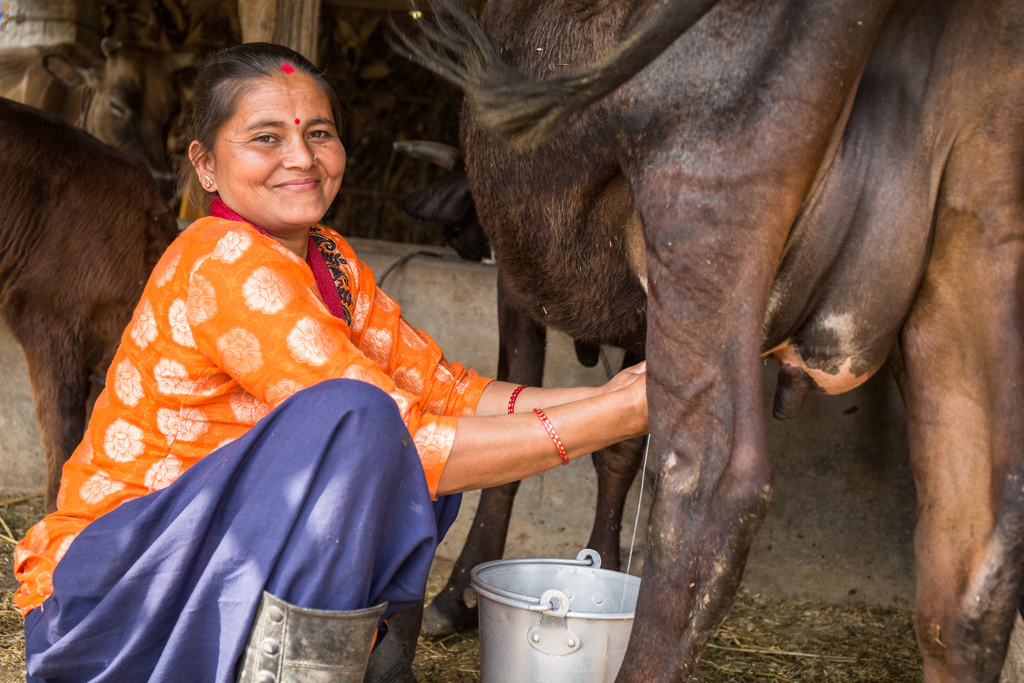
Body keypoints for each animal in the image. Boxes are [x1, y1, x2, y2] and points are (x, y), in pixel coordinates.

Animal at [396, 0, 1024, 680]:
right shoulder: (642, 317)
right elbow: (618, 452)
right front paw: (601, 553)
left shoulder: (517, 276)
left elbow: (514, 422)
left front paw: (456, 597)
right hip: (972, 264)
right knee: (967, 570)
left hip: (703, 215)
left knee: (709, 497)